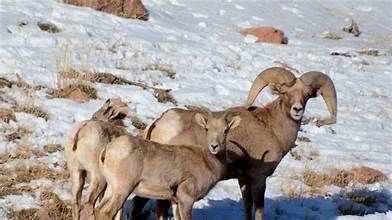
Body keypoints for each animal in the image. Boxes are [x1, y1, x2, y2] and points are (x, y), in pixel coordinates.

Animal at [95, 111, 242, 220]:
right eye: (207, 129)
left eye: (226, 130)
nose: (214, 146)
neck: (207, 161)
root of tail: (108, 149)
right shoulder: (187, 199)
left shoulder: (176, 201)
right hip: (123, 190)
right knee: (105, 213)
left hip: (111, 189)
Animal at [130, 67, 336, 220]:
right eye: (284, 92)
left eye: (307, 94)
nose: (297, 110)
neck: (272, 128)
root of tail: (161, 123)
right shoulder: (259, 178)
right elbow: (259, 210)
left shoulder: (243, 179)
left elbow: (247, 207)